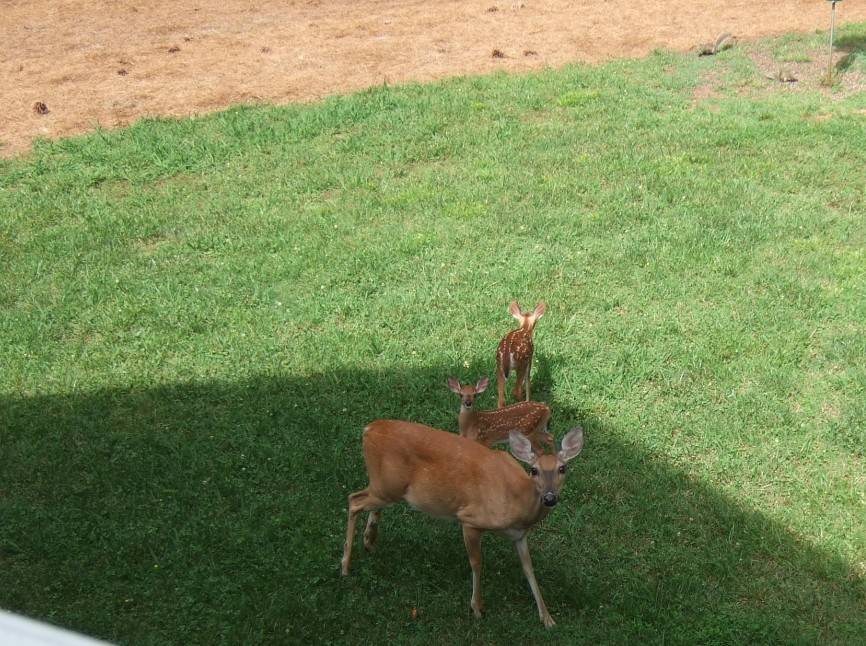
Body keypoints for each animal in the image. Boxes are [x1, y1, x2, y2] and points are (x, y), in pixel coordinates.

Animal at [341, 420, 585, 628]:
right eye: (534, 470)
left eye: (563, 468)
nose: (550, 498)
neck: (517, 501)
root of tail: (369, 429)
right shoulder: (470, 519)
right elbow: (476, 563)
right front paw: (477, 607)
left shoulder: (519, 535)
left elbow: (529, 570)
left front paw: (547, 618)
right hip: (386, 487)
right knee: (353, 500)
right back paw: (345, 565)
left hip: (387, 488)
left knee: (366, 502)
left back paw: (369, 541)